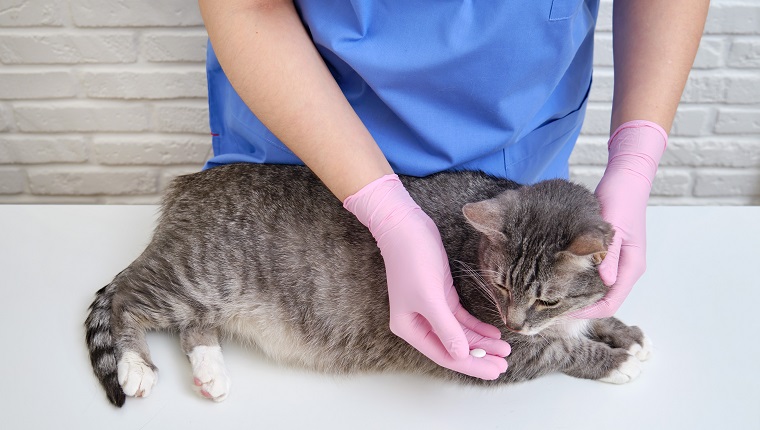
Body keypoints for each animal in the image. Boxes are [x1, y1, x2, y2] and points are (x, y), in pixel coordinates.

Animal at [84, 161, 652, 406]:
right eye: (501, 287)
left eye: (546, 298)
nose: (514, 321)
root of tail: (190, 182)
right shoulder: (497, 352)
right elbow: (561, 352)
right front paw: (614, 360)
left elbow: (591, 315)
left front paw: (622, 331)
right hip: (198, 274)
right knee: (128, 294)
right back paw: (136, 365)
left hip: (206, 290)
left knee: (193, 325)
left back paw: (210, 369)